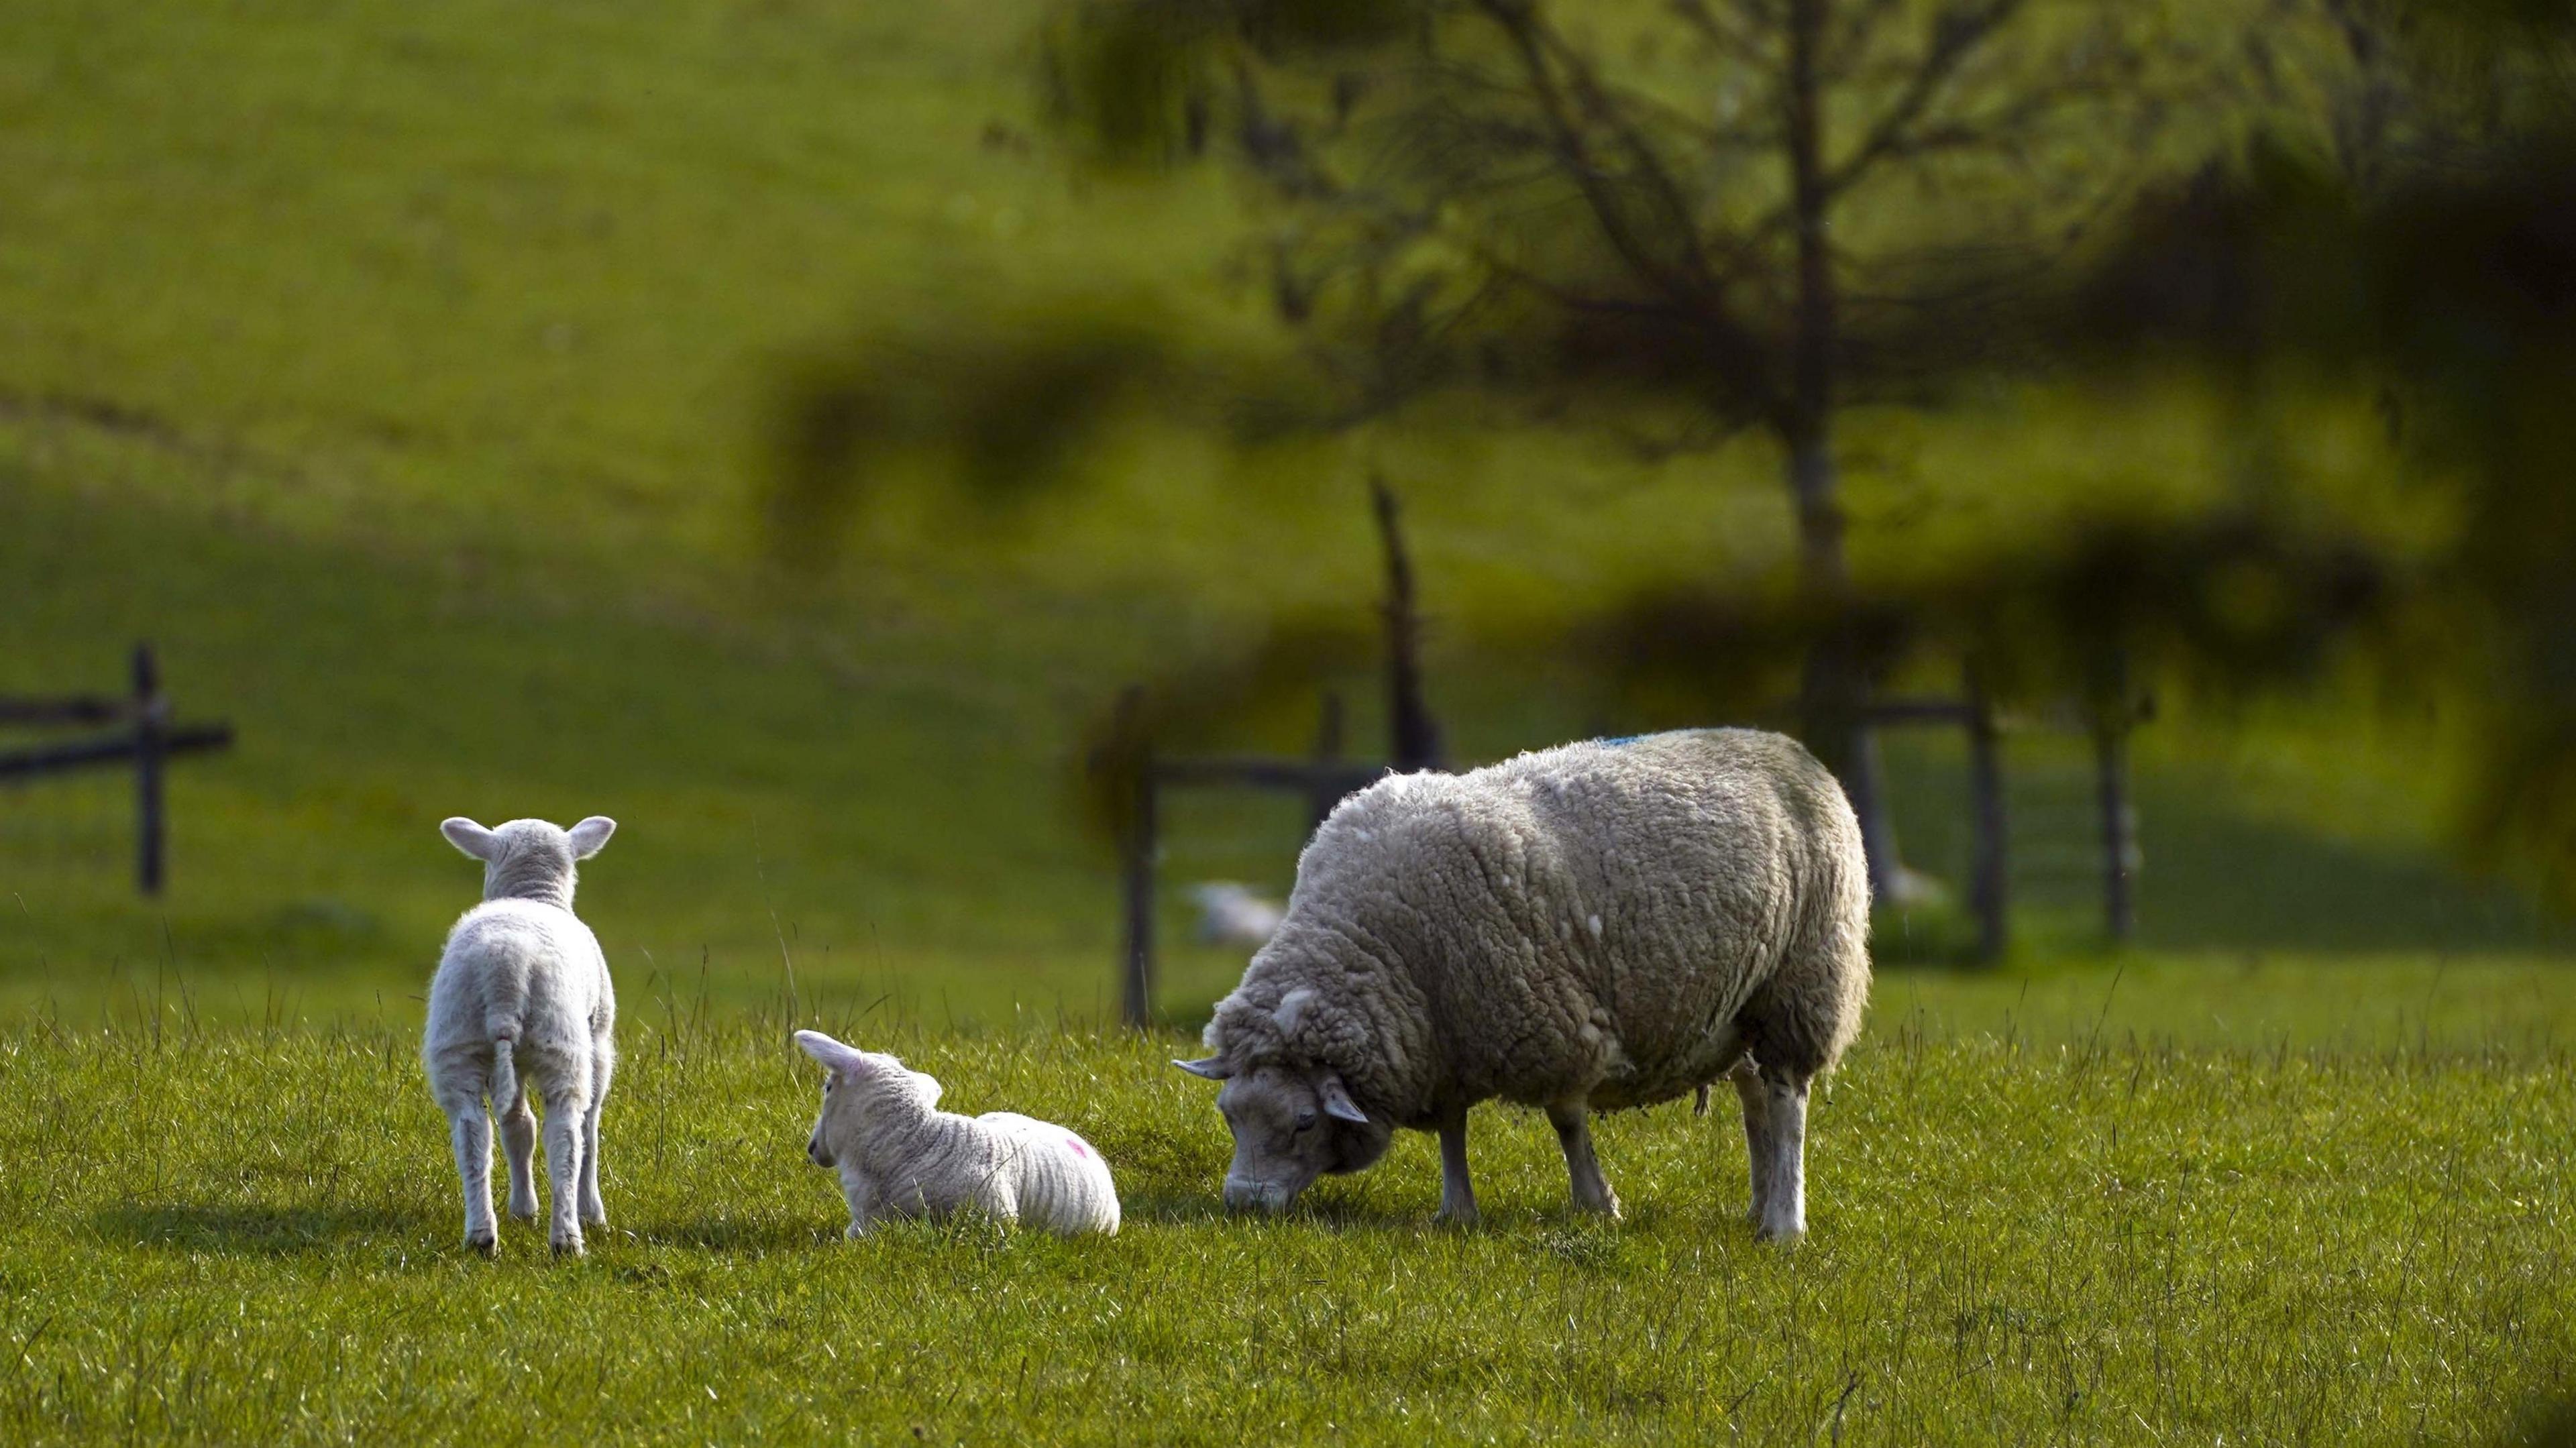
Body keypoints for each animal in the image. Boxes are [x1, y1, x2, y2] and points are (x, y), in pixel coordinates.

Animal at [427, 814, 623, 1252]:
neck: (533, 895)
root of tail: (506, 968)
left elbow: (518, 1126)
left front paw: (522, 1209)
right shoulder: (599, 1040)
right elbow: (590, 1129)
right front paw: (593, 1211)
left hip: (457, 1040)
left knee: (473, 1132)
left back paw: (482, 1235)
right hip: (562, 1041)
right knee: (567, 1135)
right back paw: (568, 1237)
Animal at [1175, 726, 1875, 1236]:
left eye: (1302, 1122)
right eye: (1229, 1116)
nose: (1242, 1203)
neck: (1374, 939)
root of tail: (1787, 747)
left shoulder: (1551, 1021)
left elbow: (1566, 1122)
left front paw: (1597, 1204)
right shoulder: (1442, 1038)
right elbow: (1452, 1127)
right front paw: (1457, 1211)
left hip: (1805, 979)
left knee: (1787, 1100)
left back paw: (1785, 1224)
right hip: (1741, 1007)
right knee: (1756, 1096)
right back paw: (1759, 1207)